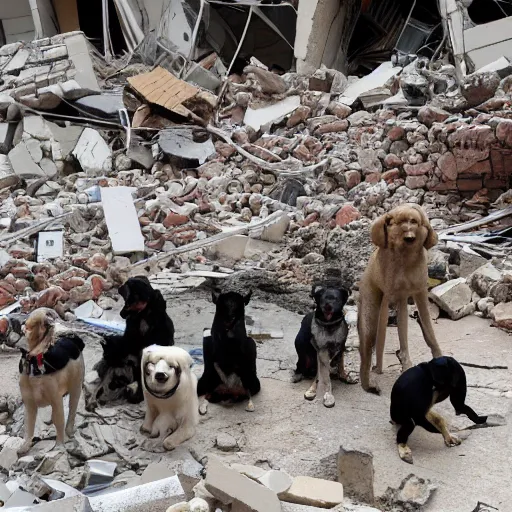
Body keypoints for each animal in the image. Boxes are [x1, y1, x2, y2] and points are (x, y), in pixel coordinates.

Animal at [18, 306, 85, 454]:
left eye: (27, 322)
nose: (22, 322)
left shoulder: (56, 400)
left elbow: (59, 421)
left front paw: (59, 445)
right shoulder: (29, 404)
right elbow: (29, 426)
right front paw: (25, 445)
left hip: (76, 387)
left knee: (71, 411)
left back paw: (69, 430)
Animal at [358, 203, 442, 392]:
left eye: (414, 221)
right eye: (399, 222)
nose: (410, 238)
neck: (405, 258)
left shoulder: (420, 291)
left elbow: (429, 330)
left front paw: (439, 357)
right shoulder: (387, 293)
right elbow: (380, 340)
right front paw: (378, 370)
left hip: (402, 302)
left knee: (402, 333)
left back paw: (404, 364)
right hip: (371, 301)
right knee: (368, 342)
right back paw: (370, 381)